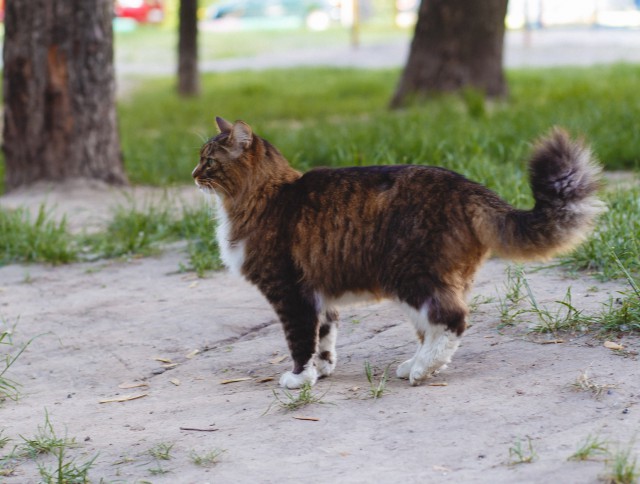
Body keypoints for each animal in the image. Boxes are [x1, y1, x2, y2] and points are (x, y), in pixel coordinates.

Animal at [191, 117, 604, 390]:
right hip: (430, 281)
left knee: (453, 320)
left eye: (209, 160)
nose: (193, 174)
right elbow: (324, 339)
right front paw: (321, 371)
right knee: (434, 327)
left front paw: (299, 378)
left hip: (409, 275)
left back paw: (422, 370)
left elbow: (300, 341)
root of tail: (469, 187)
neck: (267, 196)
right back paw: (418, 365)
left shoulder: (290, 292)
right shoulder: (319, 295)